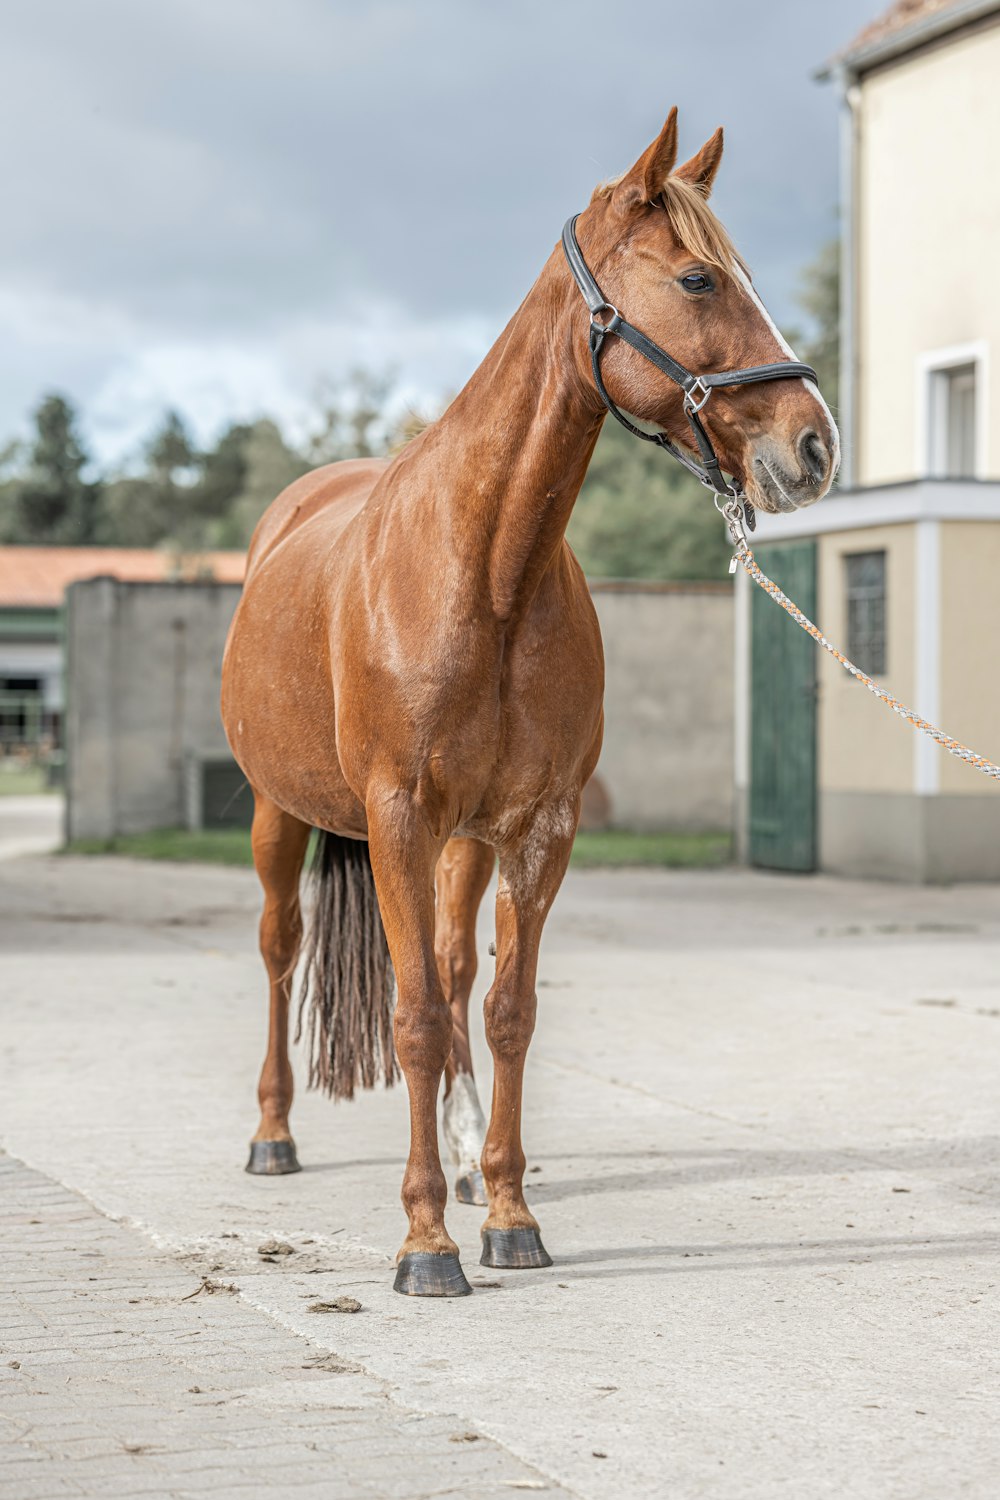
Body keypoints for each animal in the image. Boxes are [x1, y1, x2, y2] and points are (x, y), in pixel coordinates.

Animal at [223, 111, 839, 1296]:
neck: (485, 570)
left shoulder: (537, 826)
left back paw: (466, 1160)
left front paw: (506, 1213)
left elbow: (505, 1009)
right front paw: (424, 1243)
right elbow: (417, 1016)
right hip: (283, 814)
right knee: (282, 948)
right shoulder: (397, 818)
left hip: (465, 841)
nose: (814, 447)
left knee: (459, 969)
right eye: (698, 277)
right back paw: (273, 1135)